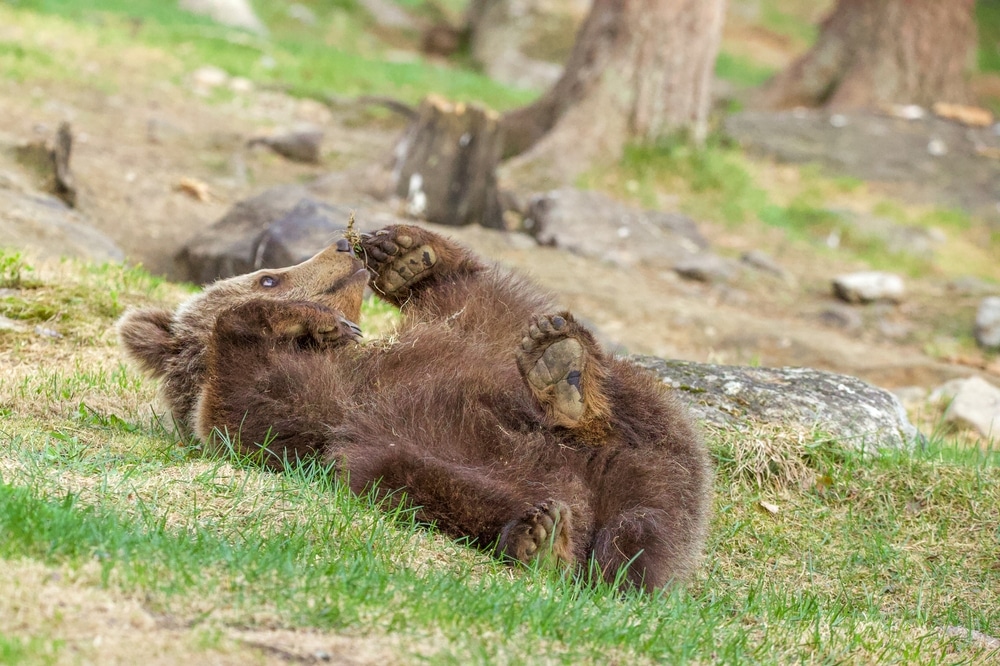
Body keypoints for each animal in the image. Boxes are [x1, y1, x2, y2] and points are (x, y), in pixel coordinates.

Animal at [119, 223, 712, 588]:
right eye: (268, 274)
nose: (342, 246)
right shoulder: (303, 413)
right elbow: (247, 404)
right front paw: (302, 316)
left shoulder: (464, 340)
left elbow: (487, 306)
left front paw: (403, 255)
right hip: (423, 463)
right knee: (416, 478)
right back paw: (542, 541)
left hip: (655, 456)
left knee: (637, 418)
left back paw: (567, 380)